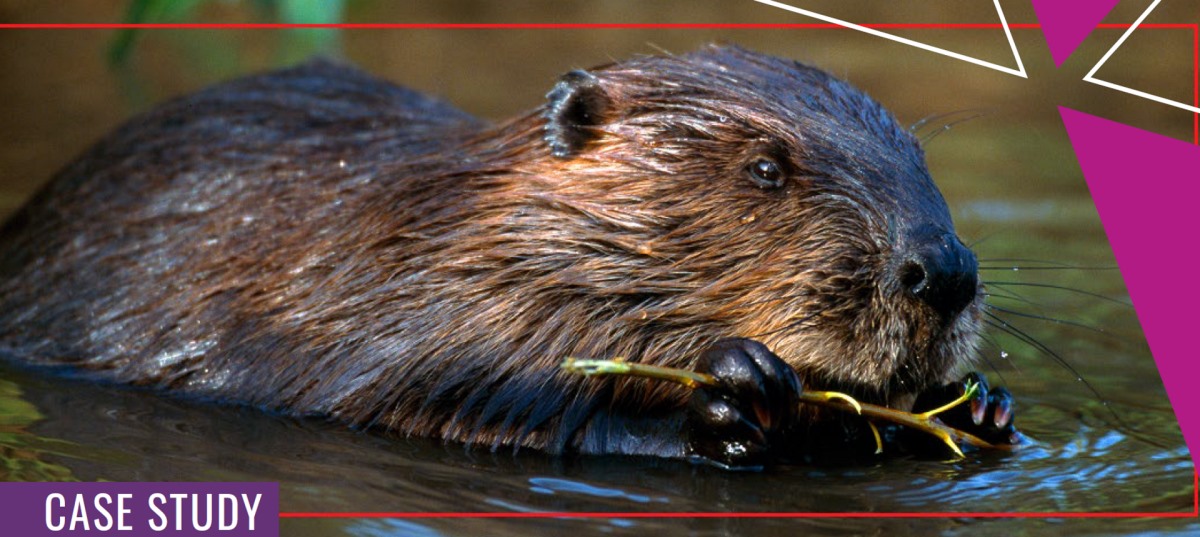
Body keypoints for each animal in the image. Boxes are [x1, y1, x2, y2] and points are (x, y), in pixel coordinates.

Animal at [0, 46, 1018, 468]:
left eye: (919, 155)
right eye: (765, 168)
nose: (945, 272)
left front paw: (981, 404)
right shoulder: (393, 317)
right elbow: (468, 400)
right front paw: (739, 391)